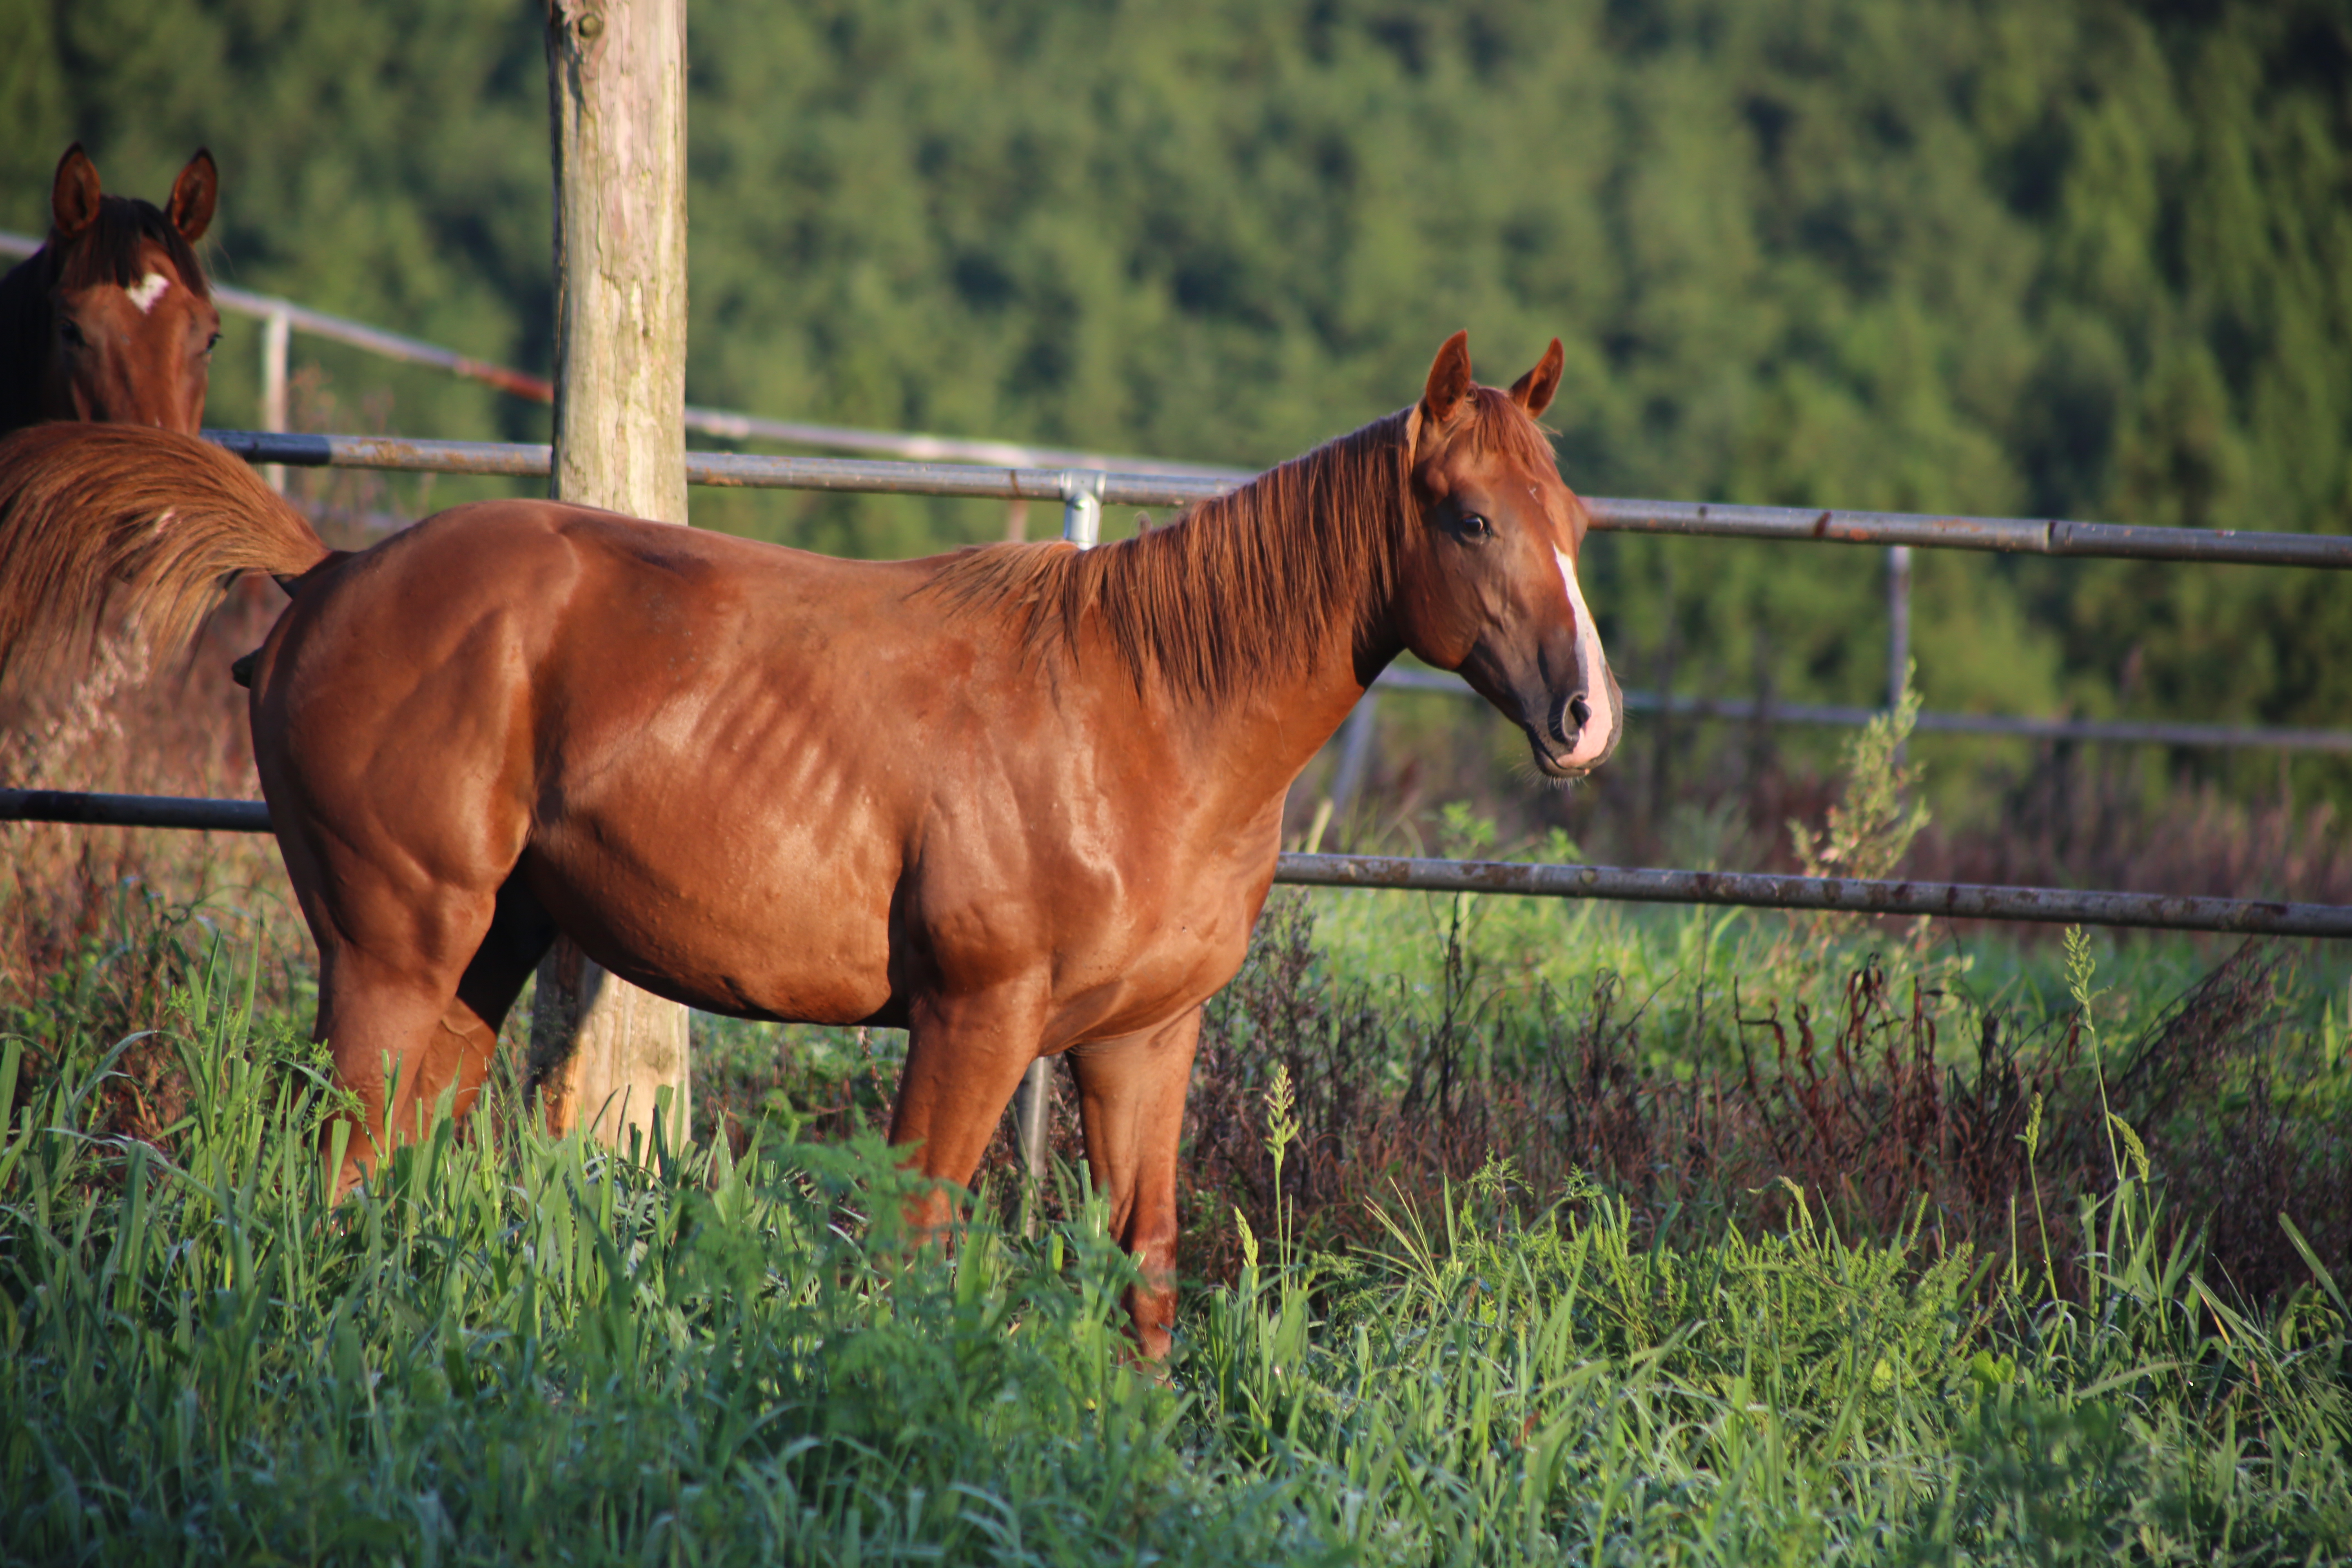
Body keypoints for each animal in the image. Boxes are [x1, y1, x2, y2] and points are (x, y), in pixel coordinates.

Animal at [0, 331, 1618, 1354]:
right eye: (1470, 519)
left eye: (1578, 520)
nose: (1585, 716)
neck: (1147, 715)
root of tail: (331, 572)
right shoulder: (973, 1023)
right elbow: (914, 1251)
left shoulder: (1141, 1042)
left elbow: (1143, 1275)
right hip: (393, 948)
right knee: (333, 1162)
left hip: (478, 959)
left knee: (383, 1165)